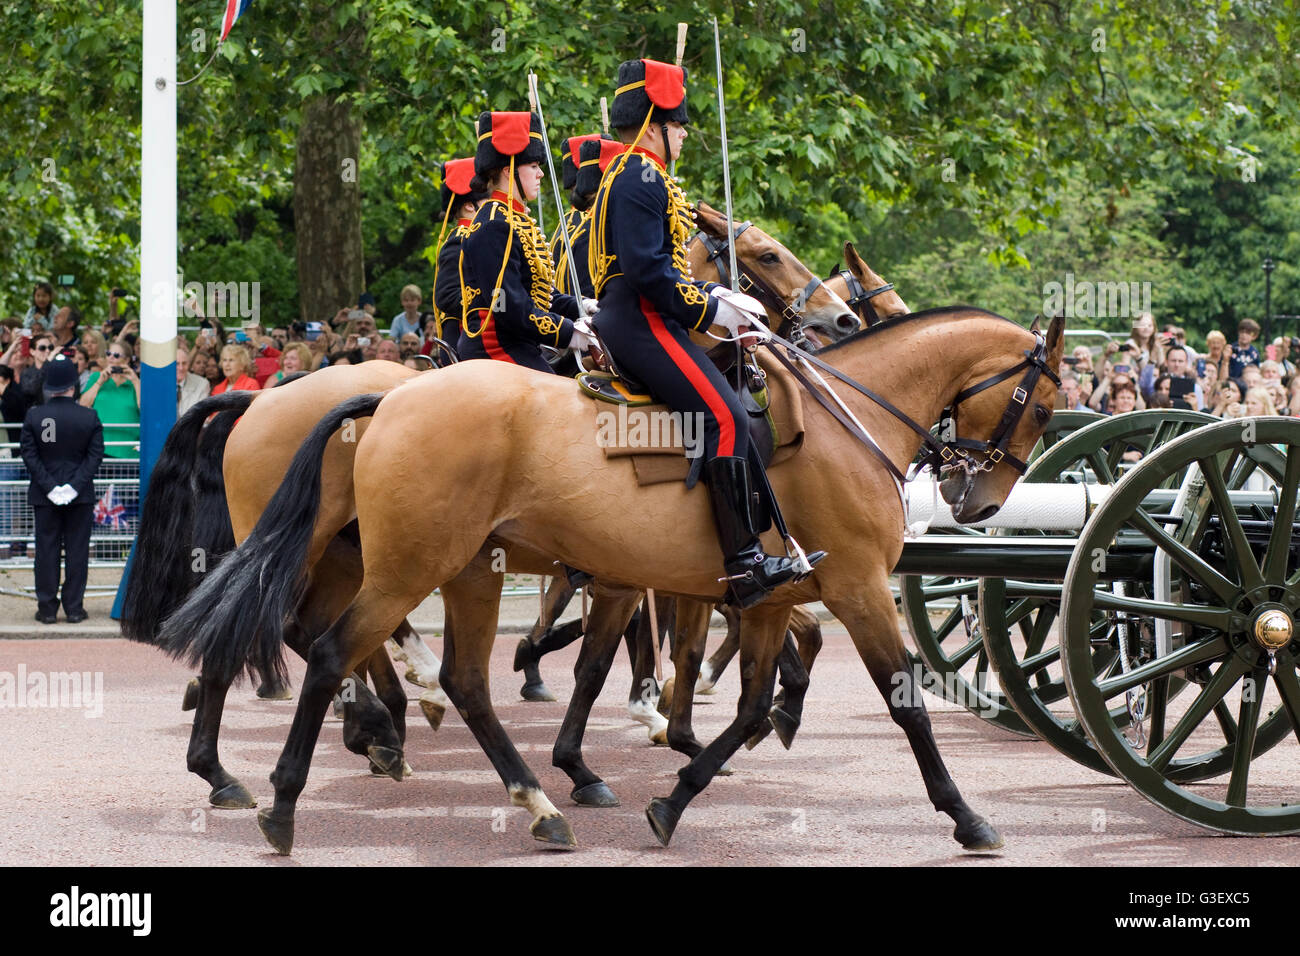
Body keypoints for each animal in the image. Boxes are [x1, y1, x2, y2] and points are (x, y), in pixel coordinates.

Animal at [161, 308, 1065, 854]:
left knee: (451, 676)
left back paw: (527, 798)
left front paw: (672, 789)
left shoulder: (760, 596)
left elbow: (734, 694)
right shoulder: (853, 590)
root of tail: (379, 403)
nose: (978, 500)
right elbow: (902, 697)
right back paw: (284, 794)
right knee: (324, 650)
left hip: (455, 570)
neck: (849, 423)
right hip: (396, 565)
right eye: (1047, 406)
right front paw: (966, 815)